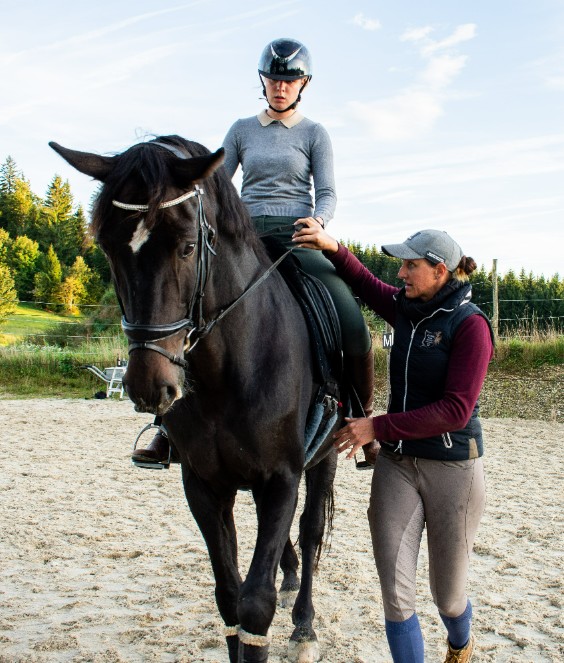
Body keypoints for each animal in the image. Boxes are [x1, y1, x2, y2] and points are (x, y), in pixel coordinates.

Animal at [49, 136, 348, 663]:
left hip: (325, 457)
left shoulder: (282, 478)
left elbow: (255, 603)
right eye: (108, 249)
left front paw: (287, 620)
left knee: (310, 532)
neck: (227, 369)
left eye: (188, 246)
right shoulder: (205, 485)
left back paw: (304, 625)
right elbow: (228, 596)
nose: (150, 385)